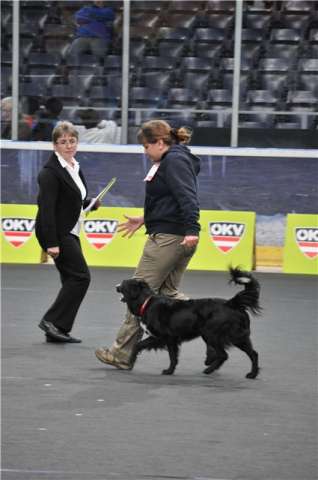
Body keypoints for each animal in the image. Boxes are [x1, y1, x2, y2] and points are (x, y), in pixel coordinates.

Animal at [116, 268, 260, 376]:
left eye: (123, 283)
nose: (116, 286)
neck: (146, 302)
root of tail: (231, 303)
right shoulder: (170, 340)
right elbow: (173, 356)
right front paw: (170, 371)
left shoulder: (164, 337)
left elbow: (140, 345)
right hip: (234, 337)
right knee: (252, 353)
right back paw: (250, 374)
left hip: (214, 334)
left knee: (225, 355)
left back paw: (211, 370)